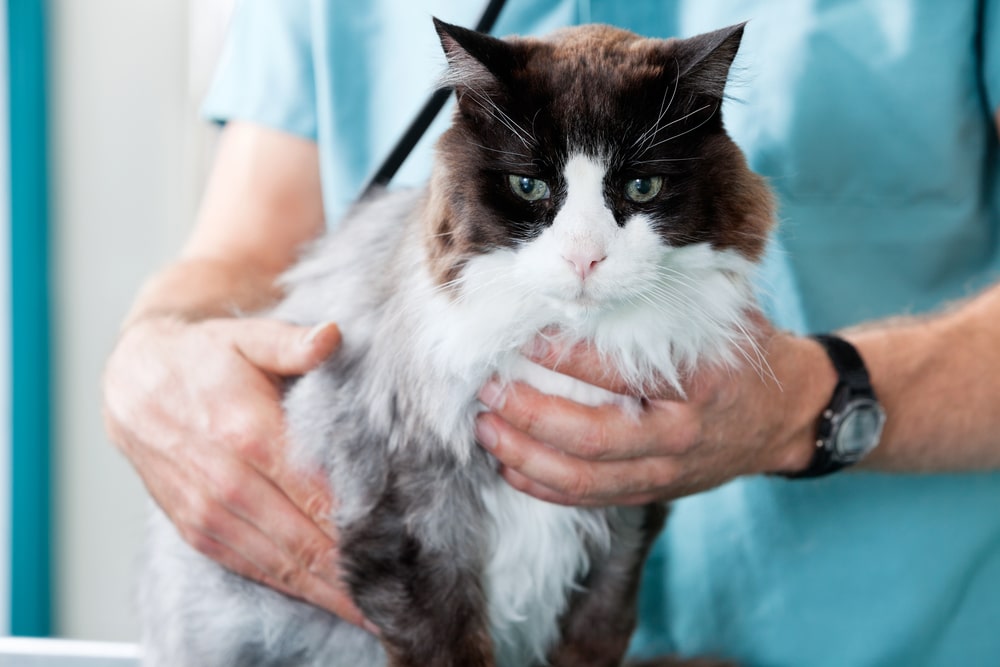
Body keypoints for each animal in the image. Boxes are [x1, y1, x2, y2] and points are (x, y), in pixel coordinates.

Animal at [137, 15, 772, 667]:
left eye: (643, 187)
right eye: (527, 186)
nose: (584, 258)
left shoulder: (623, 531)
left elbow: (593, 637)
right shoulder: (410, 520)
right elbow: (446, 640)